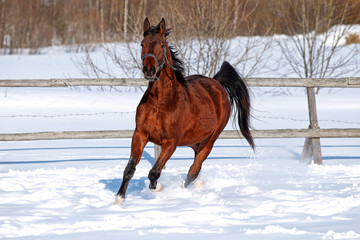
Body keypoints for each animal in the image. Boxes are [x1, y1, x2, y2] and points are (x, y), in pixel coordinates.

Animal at [115, 17, 253, 204]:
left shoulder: (171, 142)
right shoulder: (140, 134)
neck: (161, 102)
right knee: (195, 169)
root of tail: (217, 83)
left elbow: (154, 173)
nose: (149, 70)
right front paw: (118, 199)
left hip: (209, 141)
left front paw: (158, 188)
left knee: (193, 171)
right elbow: (129, 168)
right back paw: (198, 184)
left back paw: (183, 191)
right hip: (195, 140)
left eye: (162, 45)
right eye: (142, 44)